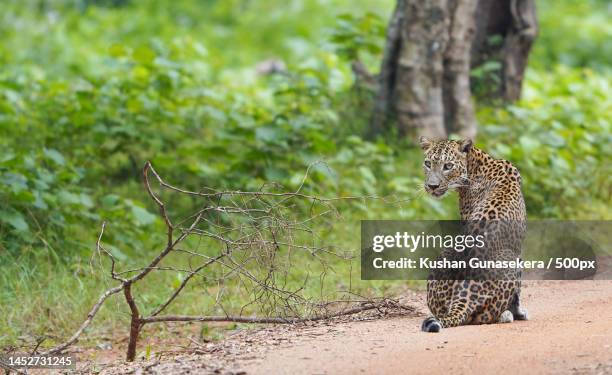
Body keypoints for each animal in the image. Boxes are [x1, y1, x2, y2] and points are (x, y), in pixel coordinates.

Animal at [418, 137, 528, 332]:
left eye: (448, 166)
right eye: (428, 163)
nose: (432, 186)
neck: (476, 163)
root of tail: (465, 294)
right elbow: (519, 292)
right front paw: (520, 313)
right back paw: (507, 315)